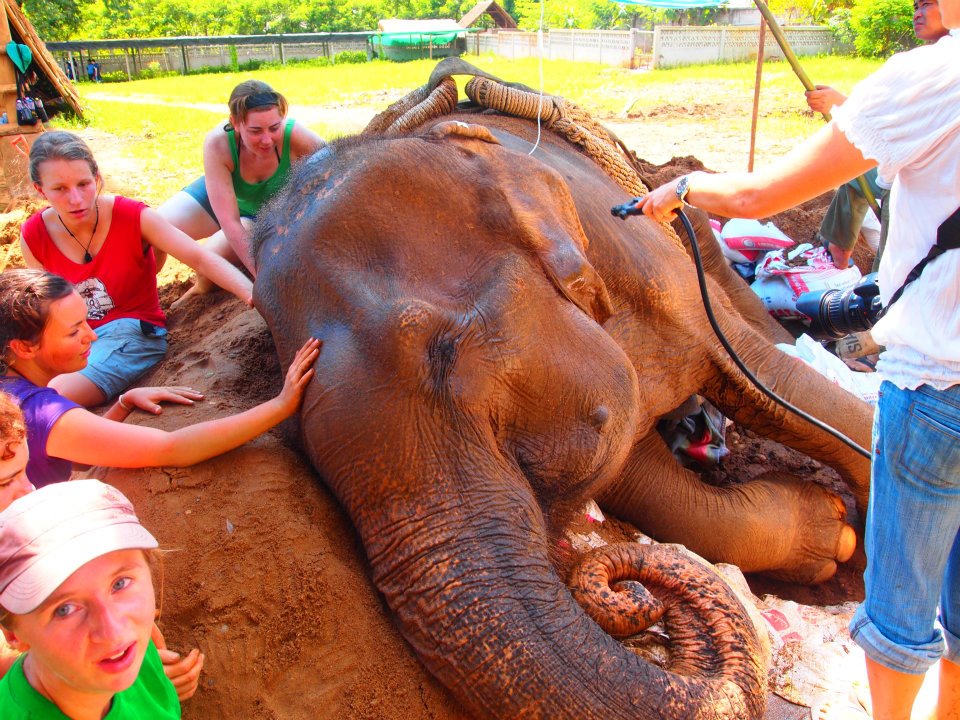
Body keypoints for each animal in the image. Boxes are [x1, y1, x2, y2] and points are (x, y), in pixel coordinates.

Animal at [250, 70, 872, 719]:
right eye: (299, 439)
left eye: (443, 351)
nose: (629, 588)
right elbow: (648, 487)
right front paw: (831, 533)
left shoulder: (640, 259)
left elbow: (773, 381)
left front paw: (862, 549)